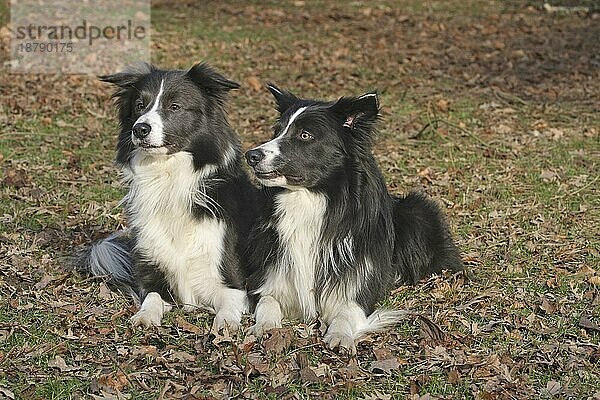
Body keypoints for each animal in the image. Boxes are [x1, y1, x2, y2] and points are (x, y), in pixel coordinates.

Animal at [76, 62, 256, 332]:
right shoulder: (153, 273)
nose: (140, 129)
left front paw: (225, 323)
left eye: (175, 106)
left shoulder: (232, 281)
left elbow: (228, 306)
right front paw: (145, 317)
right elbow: (151, 298)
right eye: (140, 105)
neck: (169, 178)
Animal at [245, 85, 464, 354]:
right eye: (277, 132)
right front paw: (264, 326)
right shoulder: (267, 276)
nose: (251, 155)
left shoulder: (361, 286)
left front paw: (340, 335)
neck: (311, 201)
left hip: (417, 211)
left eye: (305, 135)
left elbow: (348, 310)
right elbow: (267, 301)